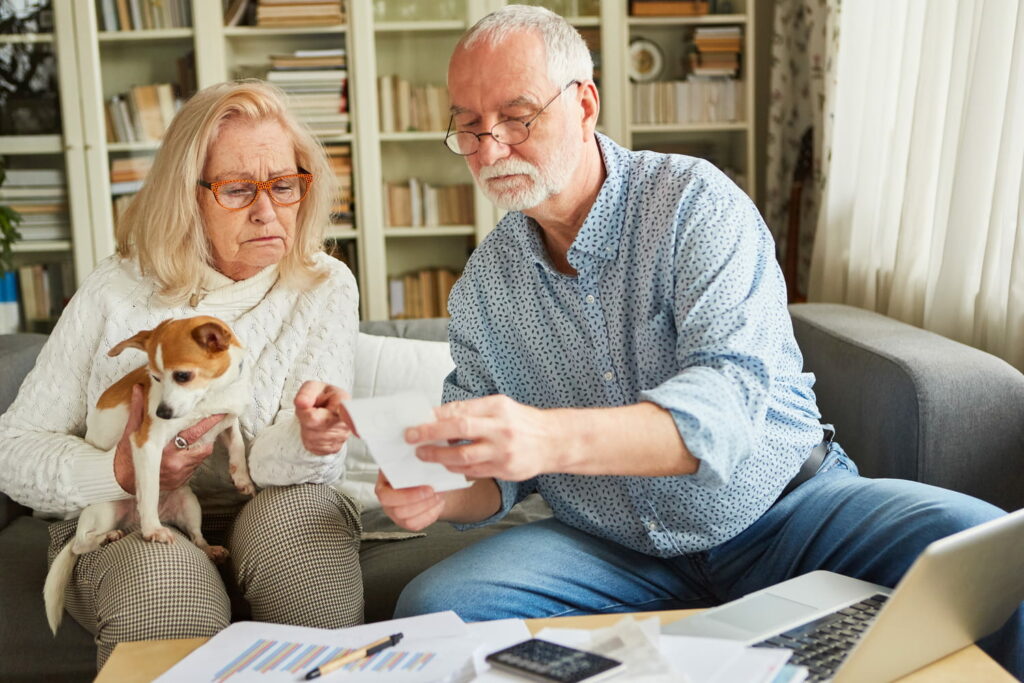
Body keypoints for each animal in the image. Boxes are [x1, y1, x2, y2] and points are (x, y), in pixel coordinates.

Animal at [43, 317, 253, 634]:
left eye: (182, 376)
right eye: (154, 377)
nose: (162, 412)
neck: (211, 396)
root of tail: (129, 524)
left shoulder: (227, 420)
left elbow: (238, 444)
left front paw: (243, 479)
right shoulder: (148, 444)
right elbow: (150, 488)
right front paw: (153, 528)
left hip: (189, 504)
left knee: (196, 537)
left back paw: (209, 548)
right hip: (105, 510)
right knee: (80, 543)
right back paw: (106, 537)